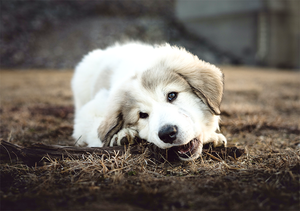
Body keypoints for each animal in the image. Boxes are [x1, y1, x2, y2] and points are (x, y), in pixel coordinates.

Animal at [71, 42, 226, 161]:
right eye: (142, 115)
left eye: (172, 95)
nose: (167, 133)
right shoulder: (90, 111)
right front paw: (121, 135)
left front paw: (213, 137)